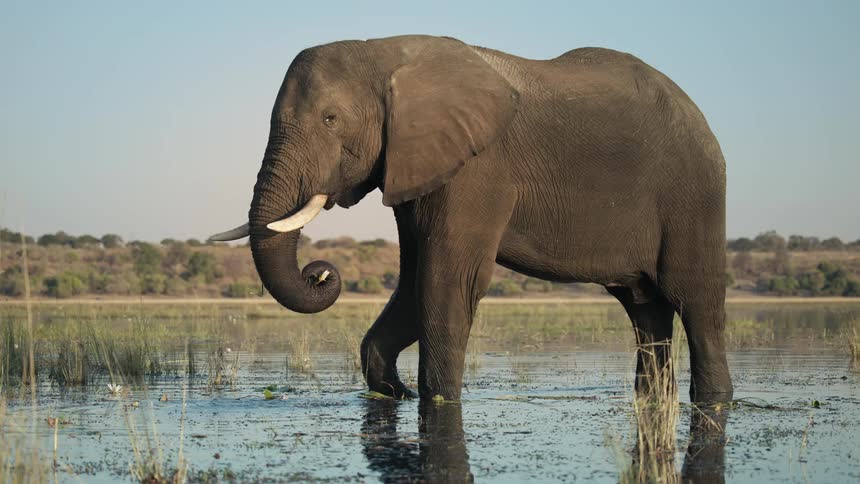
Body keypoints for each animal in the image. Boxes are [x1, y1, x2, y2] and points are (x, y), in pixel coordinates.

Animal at [210, 34, 733, 403]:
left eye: (330, 119)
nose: (319, 273)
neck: (385, 53)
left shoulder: (477, 168)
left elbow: (446, 280)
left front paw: (435, 398)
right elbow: (414, 281)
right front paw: (395, 393)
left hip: (694, 194)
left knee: (696, 303)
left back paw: (714, 399)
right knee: (645, 311)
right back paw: (653, 400)